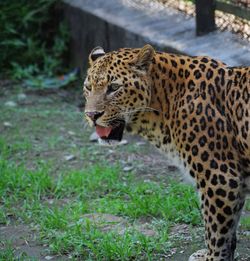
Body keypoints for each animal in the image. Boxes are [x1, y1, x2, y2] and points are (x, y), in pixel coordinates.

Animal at [83, 44, 250, 260]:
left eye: (113, 87)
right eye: (88, 88)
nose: (91, 115)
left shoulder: (220, 178)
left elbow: (217, 234)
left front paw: (212, 257)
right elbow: (230, 234)